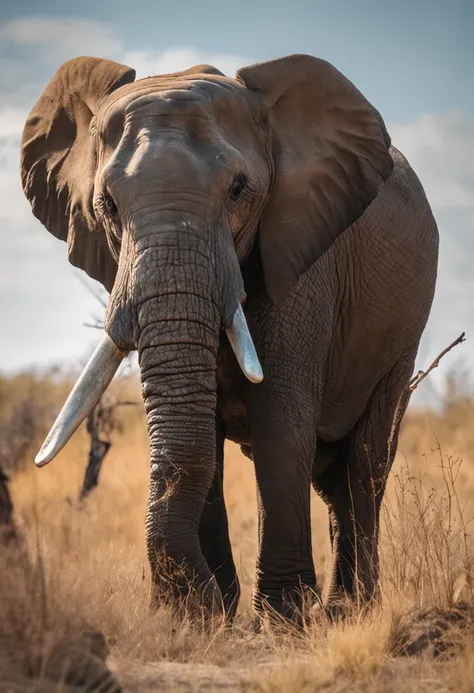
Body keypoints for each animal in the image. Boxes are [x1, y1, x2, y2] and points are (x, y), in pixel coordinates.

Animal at [20, 51, 438, 620]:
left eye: (239, 190)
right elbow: (207, 434)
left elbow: (280, 415)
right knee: (331, 476)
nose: (179, 600)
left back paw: (350, 611)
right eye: (107, 204)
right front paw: (205, 619)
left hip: (401, 338)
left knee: (365, 459)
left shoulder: (303, 254)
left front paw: (281, 620)